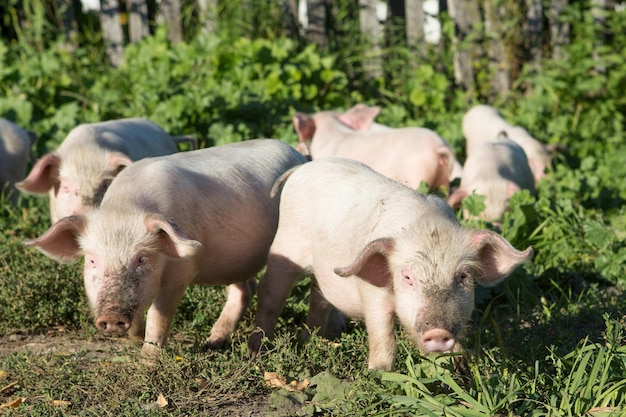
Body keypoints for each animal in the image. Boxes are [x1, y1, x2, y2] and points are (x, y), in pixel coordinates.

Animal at [24, 138, 308, 356]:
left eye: (141, 258)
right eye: (92, 260)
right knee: (244, 289)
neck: (125, 209)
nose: (112, 316)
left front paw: (147, 361)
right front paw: (136, 341)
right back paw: (212, 342)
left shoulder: (184, 269)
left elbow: (158, 316)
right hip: (233, 260)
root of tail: (298, 153)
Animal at [249, 158, 532, 368]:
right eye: (407, 277)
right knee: (270, 295)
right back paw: (257, 350)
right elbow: (382, 333)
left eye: (463, 276)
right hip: (285, 245)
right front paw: (379, 373)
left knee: (318, 298)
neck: (427, 228)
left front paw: (458, 367)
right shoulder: (372, 292)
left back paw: (314, 340)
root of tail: (301, 168)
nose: (438, 331)